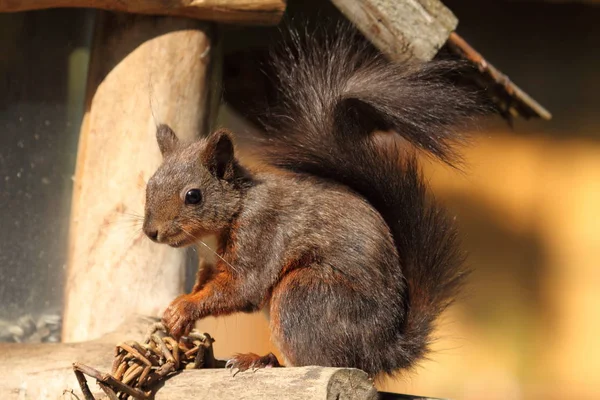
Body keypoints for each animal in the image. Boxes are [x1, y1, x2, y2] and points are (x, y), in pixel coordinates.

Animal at [143, 25, 486, 378]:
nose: (151, 232)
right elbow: (206, 284)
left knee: (319, 361)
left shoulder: (259, 236)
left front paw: (184, 308)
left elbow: (241, 287)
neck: (236, 209)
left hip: (305, 294)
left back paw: (263, 360)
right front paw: (174, 312)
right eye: (149, 184)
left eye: (193, 196)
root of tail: (380, 351)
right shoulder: (211, 263)